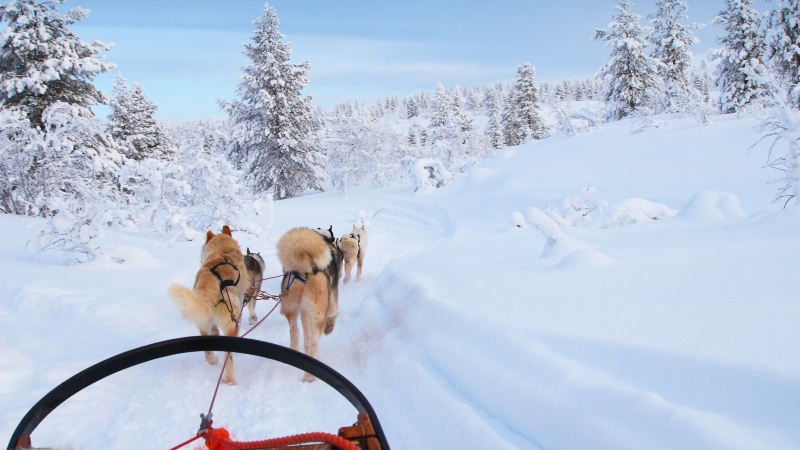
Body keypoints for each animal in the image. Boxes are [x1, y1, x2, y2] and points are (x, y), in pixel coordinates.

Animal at [170, 225, 252, 384]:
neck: (223, 249)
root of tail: (211, 280)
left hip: (202, 322)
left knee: (207, 349)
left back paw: (212, 359)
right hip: (230, 321)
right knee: (229, 357)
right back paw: (230, 380)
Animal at [276, 227, 342, 382]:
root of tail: (306, 269)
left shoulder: (304, 312)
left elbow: (306, 336)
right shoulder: (332, 302)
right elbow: (335, 312)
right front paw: (329, 327)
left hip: (291, 309)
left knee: (295, 331)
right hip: (318, 315)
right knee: (314, 342)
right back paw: (310, 375)